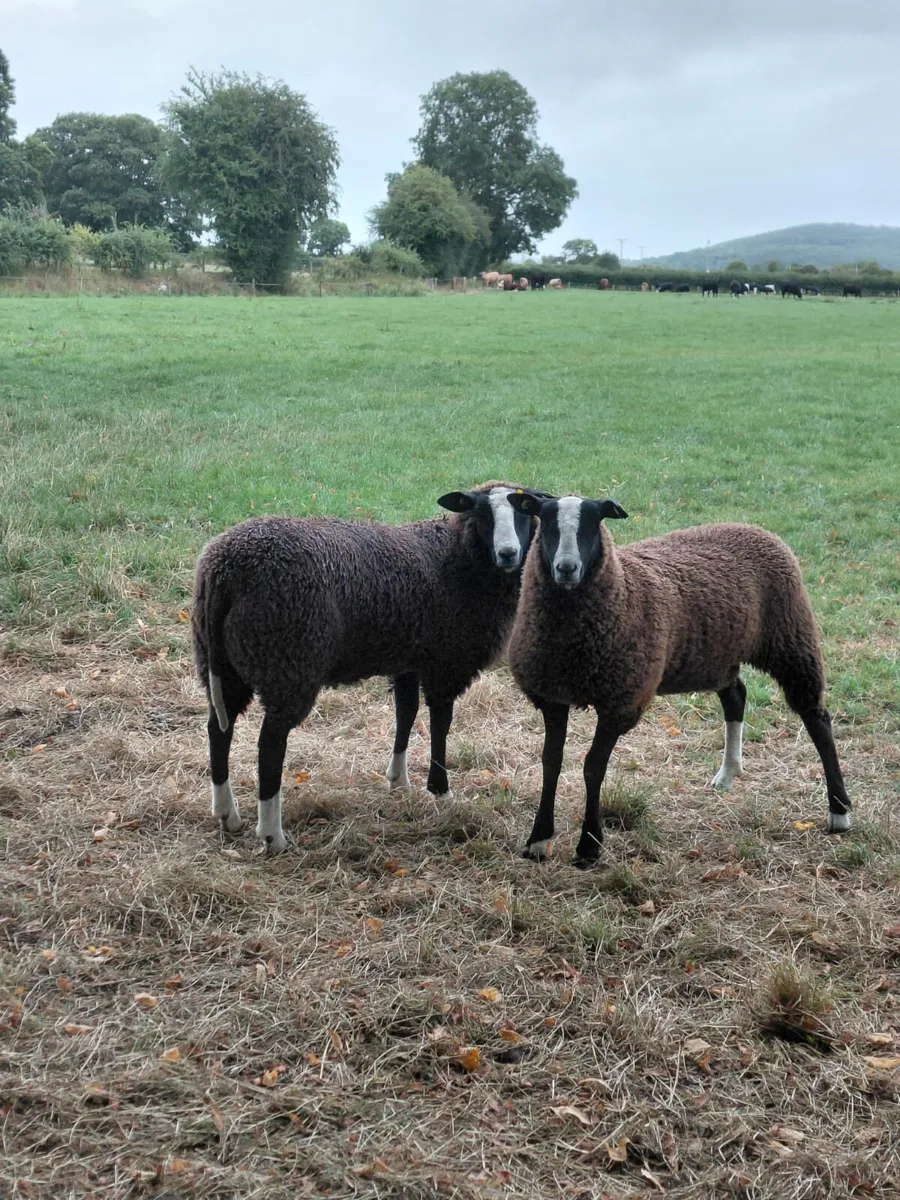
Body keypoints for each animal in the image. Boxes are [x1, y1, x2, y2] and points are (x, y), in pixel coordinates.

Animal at [192, 483, 550, 854]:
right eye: (480, 512)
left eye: (524, 511)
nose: (508, 553)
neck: (457, 557)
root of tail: (225, 571)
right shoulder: (446, 662)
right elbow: (441, 724)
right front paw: (440, 790)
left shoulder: (409, 659)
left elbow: (405, 714)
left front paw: (399, 781)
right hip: (288, 661)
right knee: (270, 745)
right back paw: (272, 835)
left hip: (222, 665)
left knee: (218, 729)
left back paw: (227, 813)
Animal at [506, 493, 853, 868]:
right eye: (546, 522)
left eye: (594, 523)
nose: (566, 568)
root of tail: (753, 528)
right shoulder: (551, 697)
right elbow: (551, 762)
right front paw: (538, 840)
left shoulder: (621, 700)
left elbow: (592, 768)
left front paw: (588, 847)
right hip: (718, 656)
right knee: (736, 697)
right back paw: (728, 774)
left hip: (790, 639)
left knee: (817, 718)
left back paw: (840, 813)